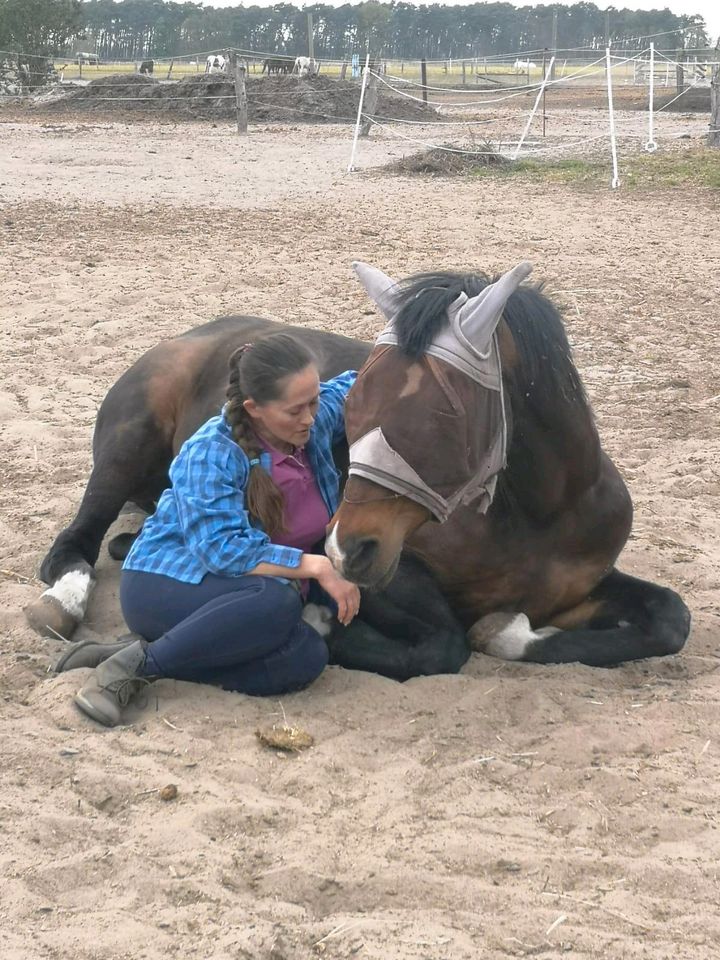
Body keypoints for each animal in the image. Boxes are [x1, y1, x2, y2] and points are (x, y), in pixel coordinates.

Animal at [25, 262, 688, 684]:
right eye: (357, 394)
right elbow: (444, 644)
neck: (542, 512)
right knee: (73, 544)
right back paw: (63, 600)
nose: (348, 547)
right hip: (123, 452)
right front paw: (322, 622)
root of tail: (193, 338)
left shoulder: (580, 590)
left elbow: (670, 619)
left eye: (447, 411)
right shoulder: (395, 574)